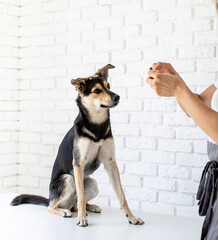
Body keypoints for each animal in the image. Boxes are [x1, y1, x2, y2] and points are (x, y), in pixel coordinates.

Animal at [11, 63, 144, 227]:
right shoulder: (79, 163)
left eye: (109, 86)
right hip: (67, 179)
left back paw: (90, 207)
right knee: (52, 206)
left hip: (93, 183)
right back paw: (65, 211)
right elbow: (80, 197)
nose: (117, 97)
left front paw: (131, 217)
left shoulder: (110, 163)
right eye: (96, 91)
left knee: (76, 203)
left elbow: (122, 196)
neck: (97, 126)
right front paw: (82, 219)